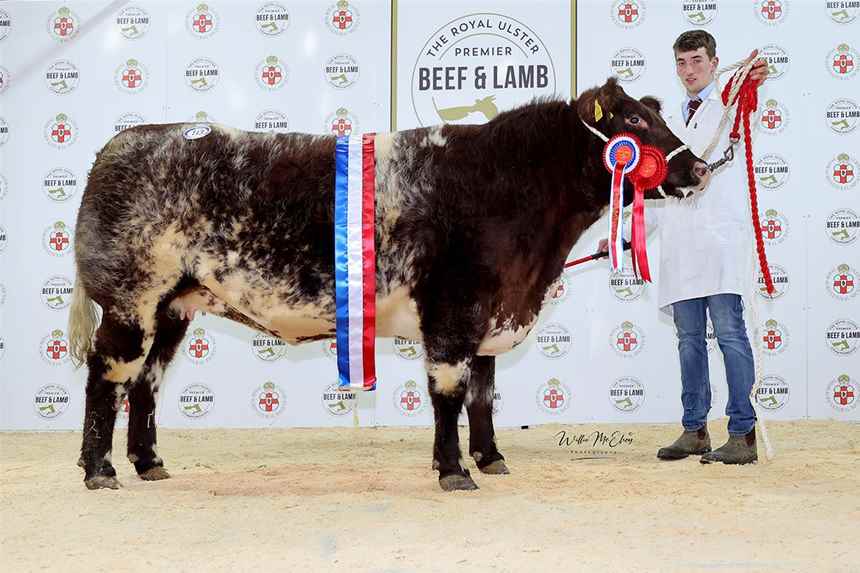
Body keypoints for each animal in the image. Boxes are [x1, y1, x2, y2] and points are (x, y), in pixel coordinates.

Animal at [70, 77, 708, 492]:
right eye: (634, 122)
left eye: (654, 116)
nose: (700, 168)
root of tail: (121, 143)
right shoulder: (454, 306)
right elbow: (448, 391)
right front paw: (454, 471)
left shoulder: (488, 312)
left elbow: (482, 394)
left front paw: (490, 458)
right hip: (131, 299)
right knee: (109, 376)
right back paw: (100, 471)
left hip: (173, 307)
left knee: (147, 382)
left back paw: (149, 463)